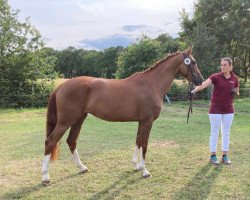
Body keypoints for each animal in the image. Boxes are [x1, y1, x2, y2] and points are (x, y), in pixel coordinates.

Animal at [42, 47, 204, 184]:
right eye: (193, 62)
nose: (200, 81)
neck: (151, 84)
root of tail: (63, 85)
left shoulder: (141, 121)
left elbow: (138, 141)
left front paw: (136, 165)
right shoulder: (148, 121)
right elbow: (144, 144)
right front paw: (145, 171)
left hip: (79, 119)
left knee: (71, 141)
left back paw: (82, 168)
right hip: (65, 121)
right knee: (50, 142)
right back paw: (45, 177)